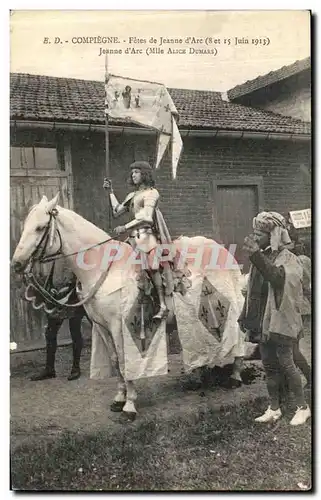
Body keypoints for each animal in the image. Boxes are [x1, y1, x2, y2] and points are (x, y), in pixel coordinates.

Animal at [10, 193, 245, 420]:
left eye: (40, 227)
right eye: (26, 225)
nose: (16, 264)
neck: (104, 268)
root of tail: (222, 249)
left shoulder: (118, 327)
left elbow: (125, 362)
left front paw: (129, 406)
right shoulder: (101, 327)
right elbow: (116, 362)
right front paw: (119, 398)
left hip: (227, 308)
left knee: (239, 336)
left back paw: (235, 376)